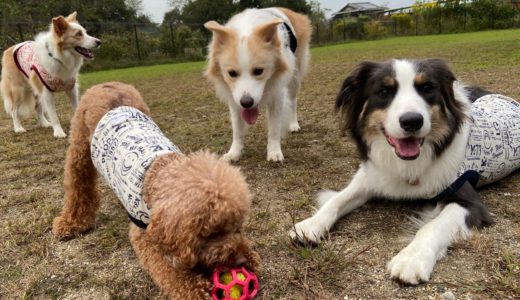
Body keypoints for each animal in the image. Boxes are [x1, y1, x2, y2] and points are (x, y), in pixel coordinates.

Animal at [205, 7, 310, 162]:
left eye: (259, 71)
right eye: (232, 73)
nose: (247, 103)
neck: (246, 27)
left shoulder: (277, 96)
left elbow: (274, 128)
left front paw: (274, 152)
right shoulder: (235, 100)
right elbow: (237, 130)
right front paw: (234, 152)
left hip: (295, 78)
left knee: (293, 102)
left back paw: (293, 124)